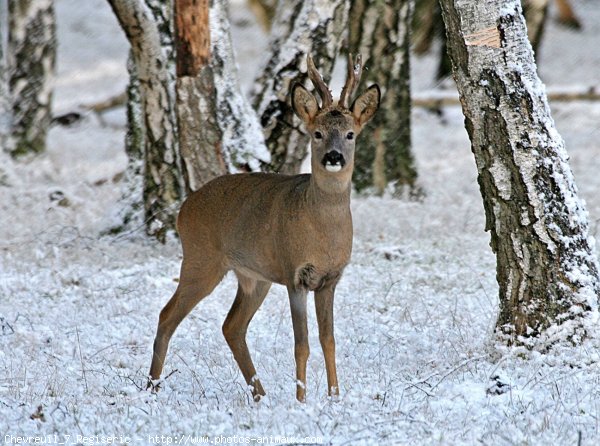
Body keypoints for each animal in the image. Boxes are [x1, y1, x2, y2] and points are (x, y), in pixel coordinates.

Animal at [148, 54, 380, 402]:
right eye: (317, 133)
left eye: (351, 133)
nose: (334, 156)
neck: (323, 234)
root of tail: (184, 208)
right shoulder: (294, 274)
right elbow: (301, 344)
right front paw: (301, 400)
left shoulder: (329, 280)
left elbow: (329, 340)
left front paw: (335, 397)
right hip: (201, 259)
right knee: (167, 314)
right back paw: (151, 387)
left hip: (254, 277)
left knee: (232, 325)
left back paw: (260, 394)